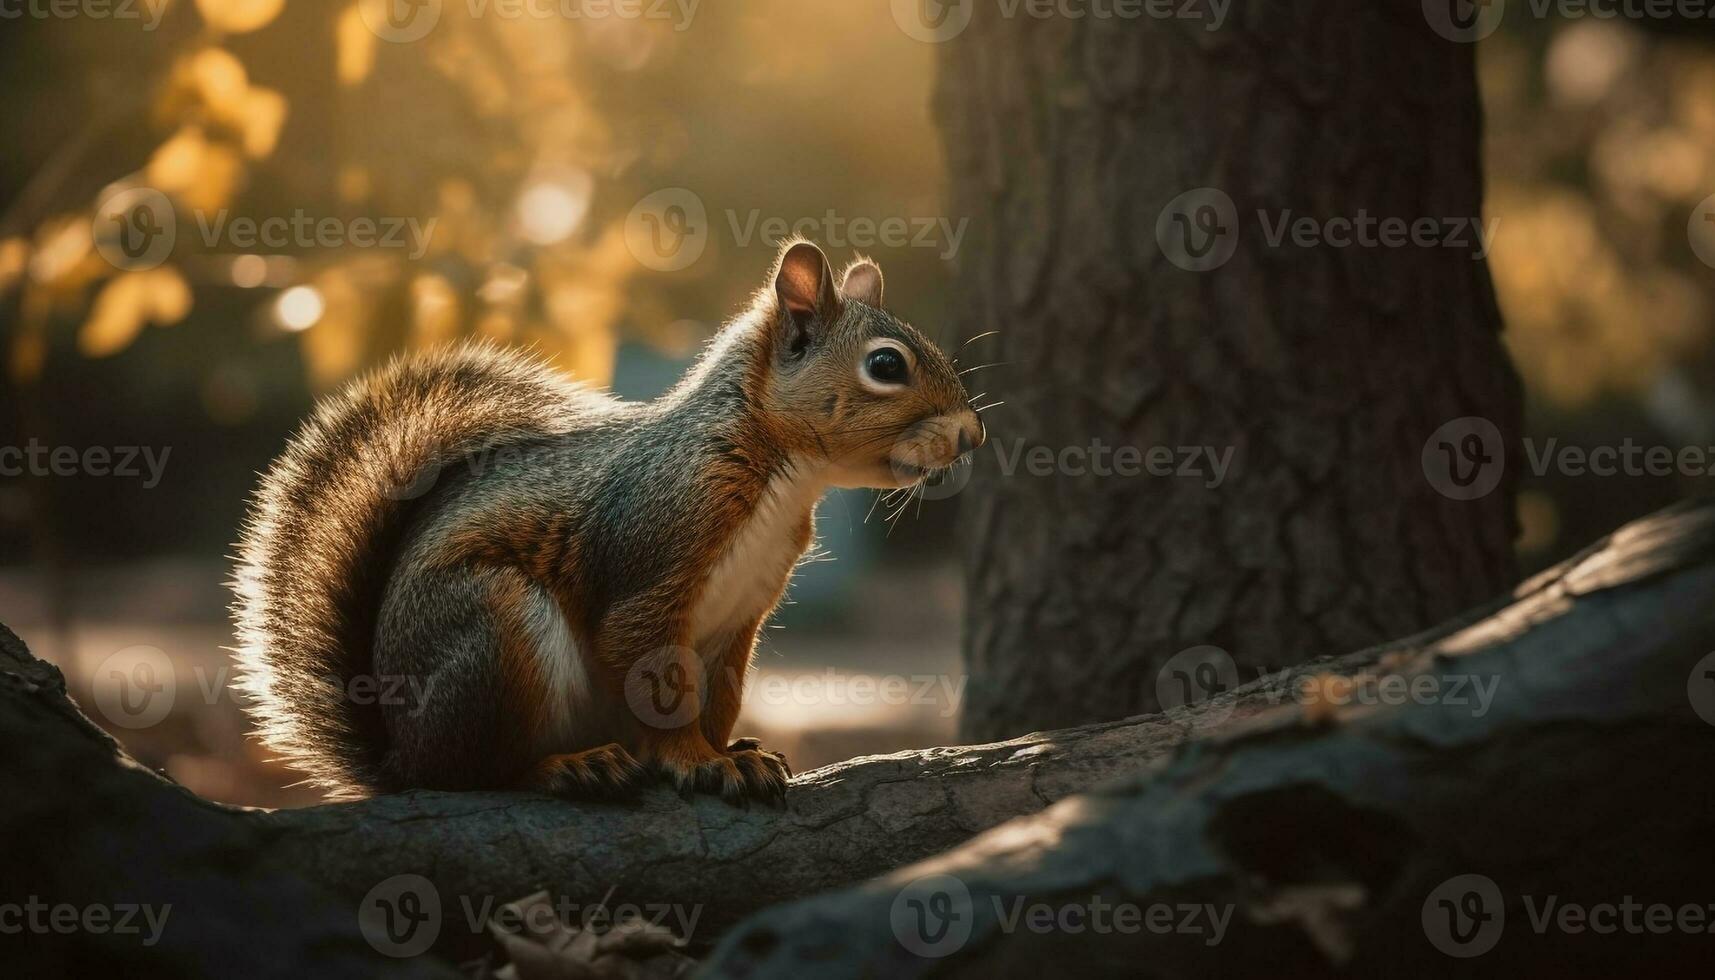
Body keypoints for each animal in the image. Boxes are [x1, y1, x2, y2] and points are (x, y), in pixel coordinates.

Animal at [229, 240, 987, 806]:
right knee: (474, 775)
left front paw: (729, 751)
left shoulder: (740, 618)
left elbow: (719, 695)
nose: (973, 435)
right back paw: (565, 767)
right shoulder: (653, 560)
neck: (783, 473)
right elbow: (654, 675)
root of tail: (398, 757)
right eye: (885, 364)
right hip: (494, 633)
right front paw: (695, 761)